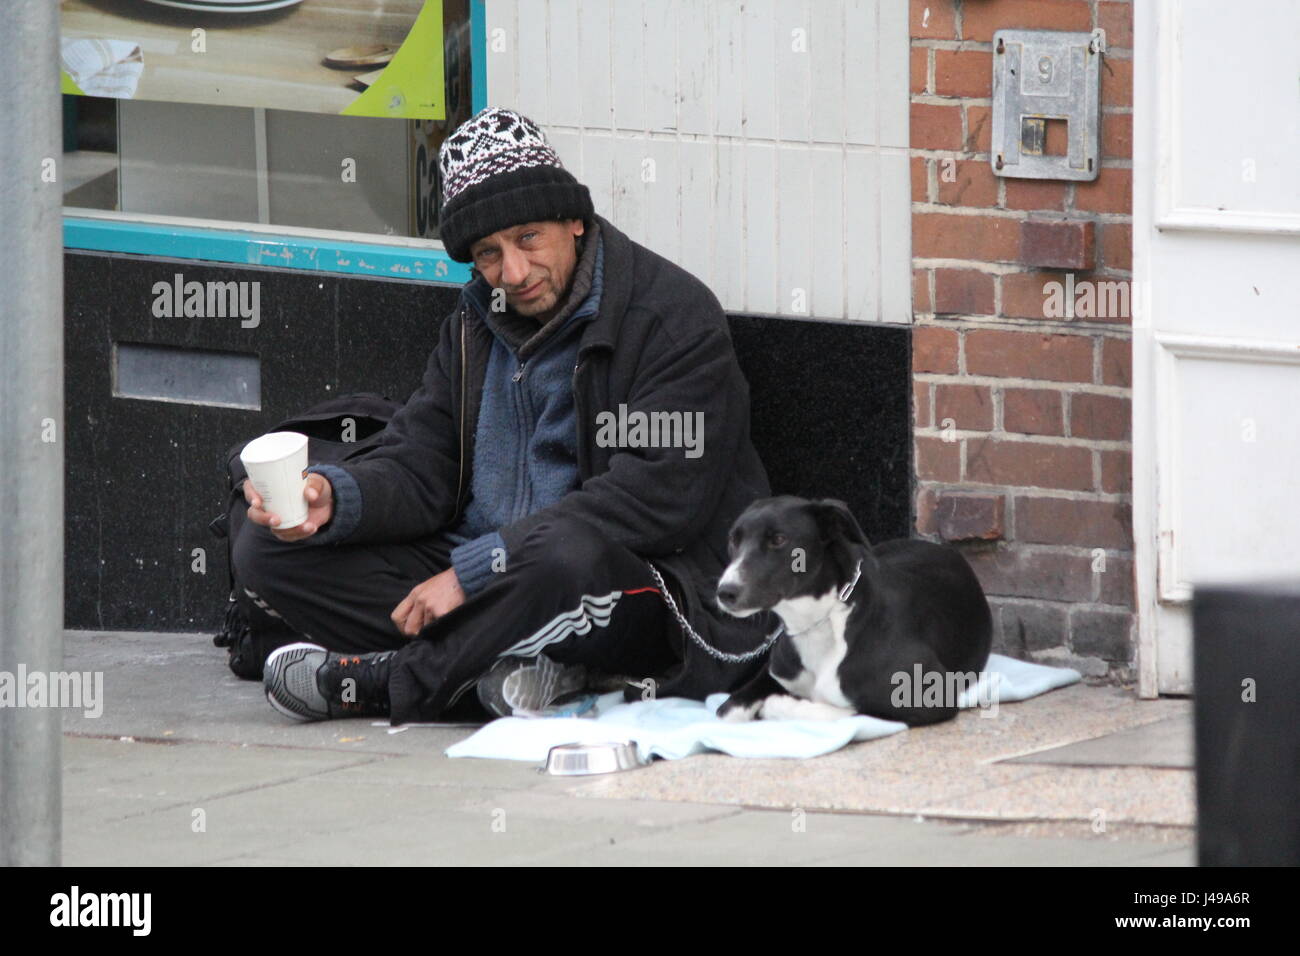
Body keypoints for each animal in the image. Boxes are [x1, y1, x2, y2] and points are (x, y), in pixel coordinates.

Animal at [717, 502, 987, 723]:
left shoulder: (932, 698)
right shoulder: (777, 670)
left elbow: (847, 710)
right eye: (733, 539)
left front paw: (776, 705)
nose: (725, 592)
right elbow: (727, 710)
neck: (820, 622)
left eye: (778, 539)